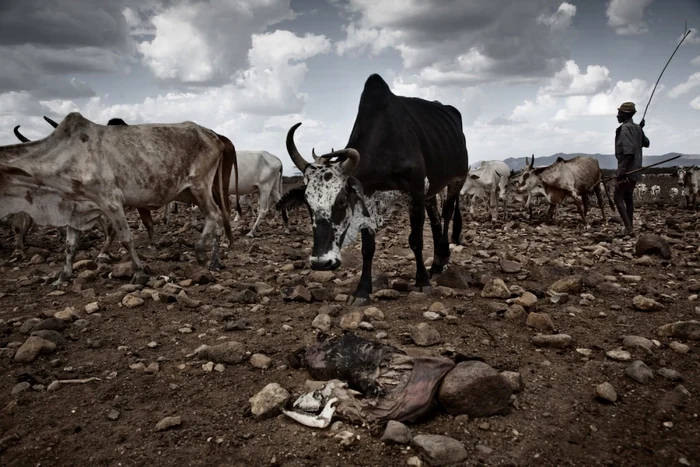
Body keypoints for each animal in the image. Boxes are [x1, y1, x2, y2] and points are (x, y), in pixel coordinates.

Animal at [0, 112, 235, 286]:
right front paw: (63, 276)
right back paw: (214, 260)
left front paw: (139, 272)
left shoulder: (111, 201)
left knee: (214, 214)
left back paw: (203, 254)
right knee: (218, 218)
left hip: (200, 185)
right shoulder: (77, 208)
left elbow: (126, 238)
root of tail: (212, 134)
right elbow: (70, 245)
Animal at [278, 73, 470, 308]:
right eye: (307, 203)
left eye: (342, 201)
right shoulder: (368, 198)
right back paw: (436, 264)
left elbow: (416, 240)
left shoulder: (415, 191)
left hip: (457, 179)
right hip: (431, 191)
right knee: (435, 220)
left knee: (447, 213)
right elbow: (367, 248)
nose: (321, 262)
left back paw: (441, 258)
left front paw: (422, 281)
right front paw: (362, 291)